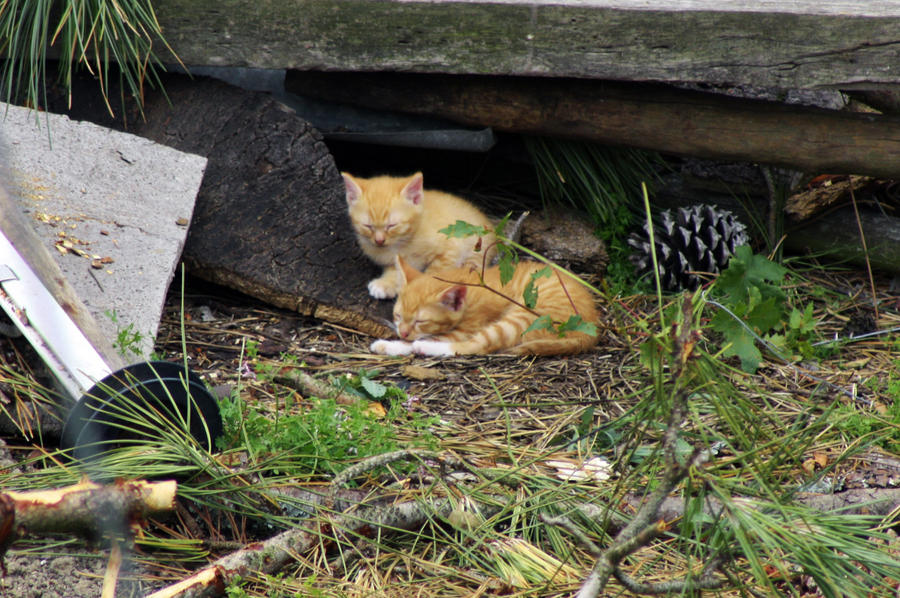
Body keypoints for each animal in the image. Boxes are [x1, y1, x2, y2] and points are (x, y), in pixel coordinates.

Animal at [342, 172, 496, 300]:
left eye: (391, 225)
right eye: (368, 226)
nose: (379, 240)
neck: (404, 242)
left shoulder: (451, 247)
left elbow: (435, 273)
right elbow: (398, 270)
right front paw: (386, 284)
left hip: (477, 245)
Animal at [370, 254, 600, 356]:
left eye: (420, 321)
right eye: (398, 316)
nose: (403, 332)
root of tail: (592, 327)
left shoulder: (468, 327)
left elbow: (438, 337)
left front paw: (393, 345)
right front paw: (392, 342)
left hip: (525, 317)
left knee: (477, 346)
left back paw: (425, 347)